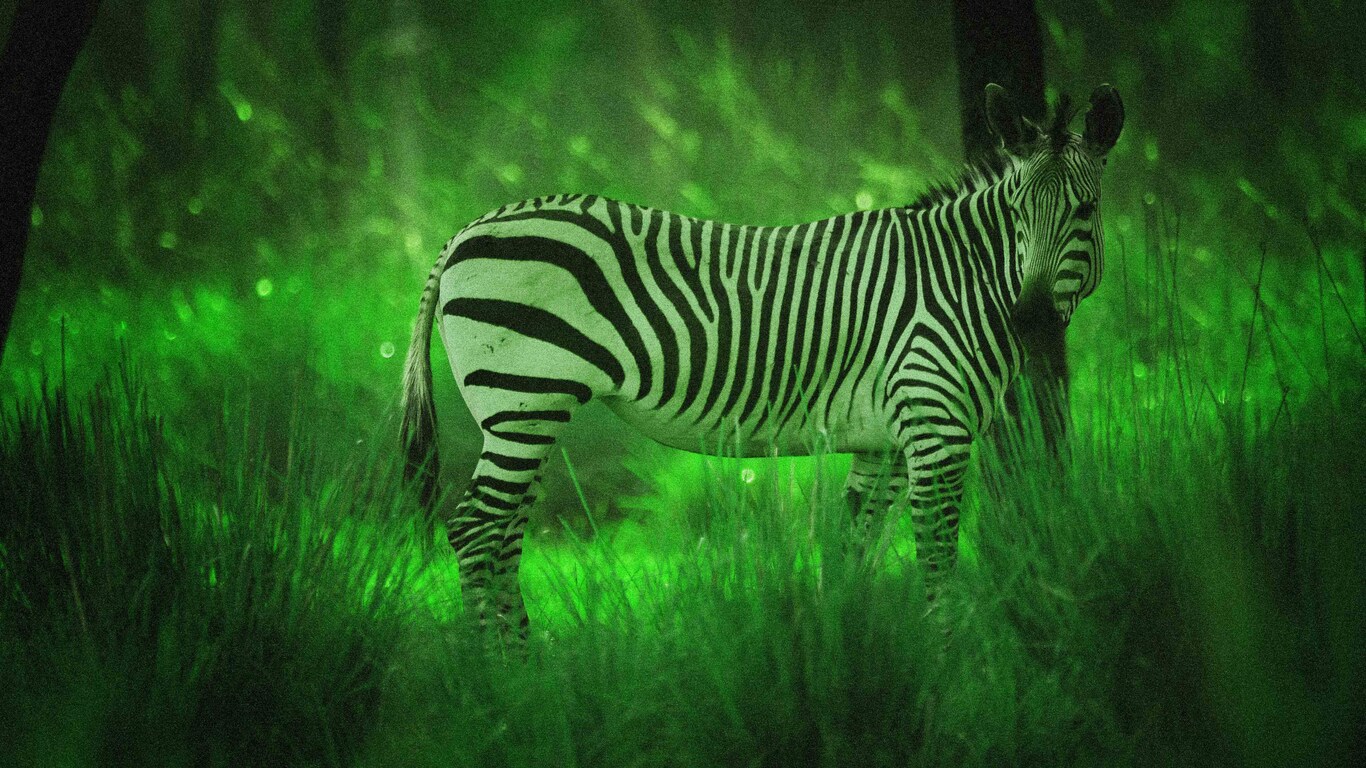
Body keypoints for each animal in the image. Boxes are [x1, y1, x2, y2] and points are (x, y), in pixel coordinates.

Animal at [401, 83, 1124, 636]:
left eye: (1085, 210)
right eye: (1018, 213)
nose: (1031, 322)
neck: (963, 280)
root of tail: (467, 229)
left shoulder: (885, 444)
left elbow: (852, 554)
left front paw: (853, 655)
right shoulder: (935, 430)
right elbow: (938, 559)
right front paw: (944, 662)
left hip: (525, 413)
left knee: (500, 535)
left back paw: (526, 664)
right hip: (522, 397)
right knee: (475, 531)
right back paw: (496, 677)